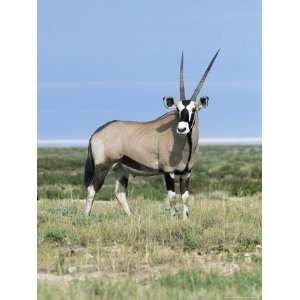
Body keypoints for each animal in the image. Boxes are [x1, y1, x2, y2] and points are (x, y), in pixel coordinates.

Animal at [84, 48, 220, 218]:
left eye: (193, 109)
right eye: (177, 109)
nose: (182, 129)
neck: (184, 144)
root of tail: (97, 132)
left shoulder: (186, 172)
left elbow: (185, 198)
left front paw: (185, 219)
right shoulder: (168, 171)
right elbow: (172, 197)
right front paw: (173, 219)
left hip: (121, 169)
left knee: (120, 193)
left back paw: (131, 217)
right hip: (103, 166)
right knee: (92, 189)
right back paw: (85, 217)